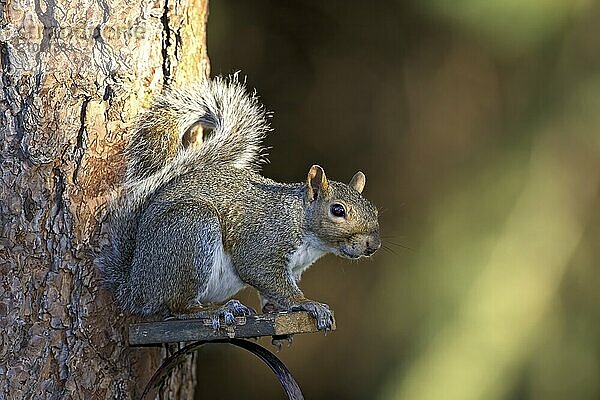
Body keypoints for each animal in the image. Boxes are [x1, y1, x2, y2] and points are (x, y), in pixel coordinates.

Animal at [98, 76, 380, 332]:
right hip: (191, 231)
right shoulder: (263, 246)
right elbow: (264, 275)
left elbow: (271, 295)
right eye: (338, 210)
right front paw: (307, 303)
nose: (373, 245)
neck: (300, 220)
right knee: (177, 306)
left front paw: (276, 310)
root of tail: (136, 285)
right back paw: (216, 310)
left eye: (374, 210)